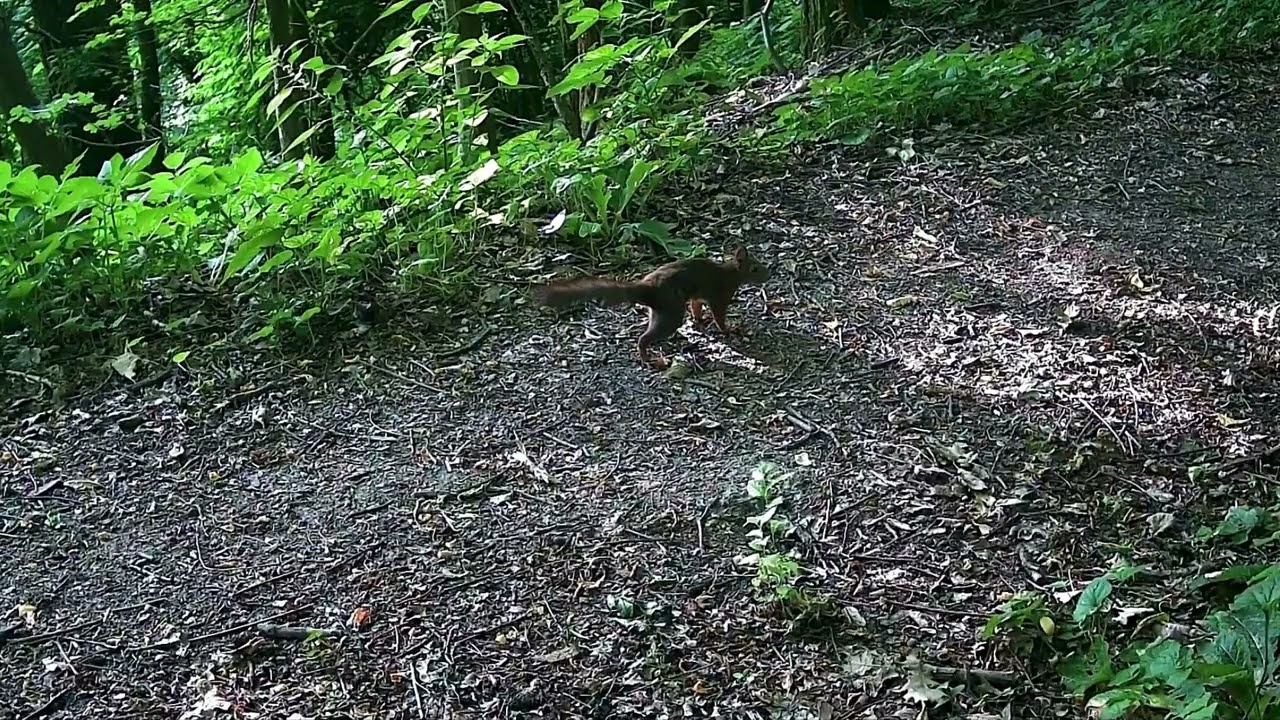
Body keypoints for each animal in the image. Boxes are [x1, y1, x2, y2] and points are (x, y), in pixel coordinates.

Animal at [533, 245, 771, 367]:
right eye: (755, 269)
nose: (768, 275)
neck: (731, 273)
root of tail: (649, 289)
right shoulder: (720, 295)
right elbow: (719, 316)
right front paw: (730, 329)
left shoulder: (699, 297)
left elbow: (696, 306)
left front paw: (699, 319)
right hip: (671, 312)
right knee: (644, 339)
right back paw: (649, 358)